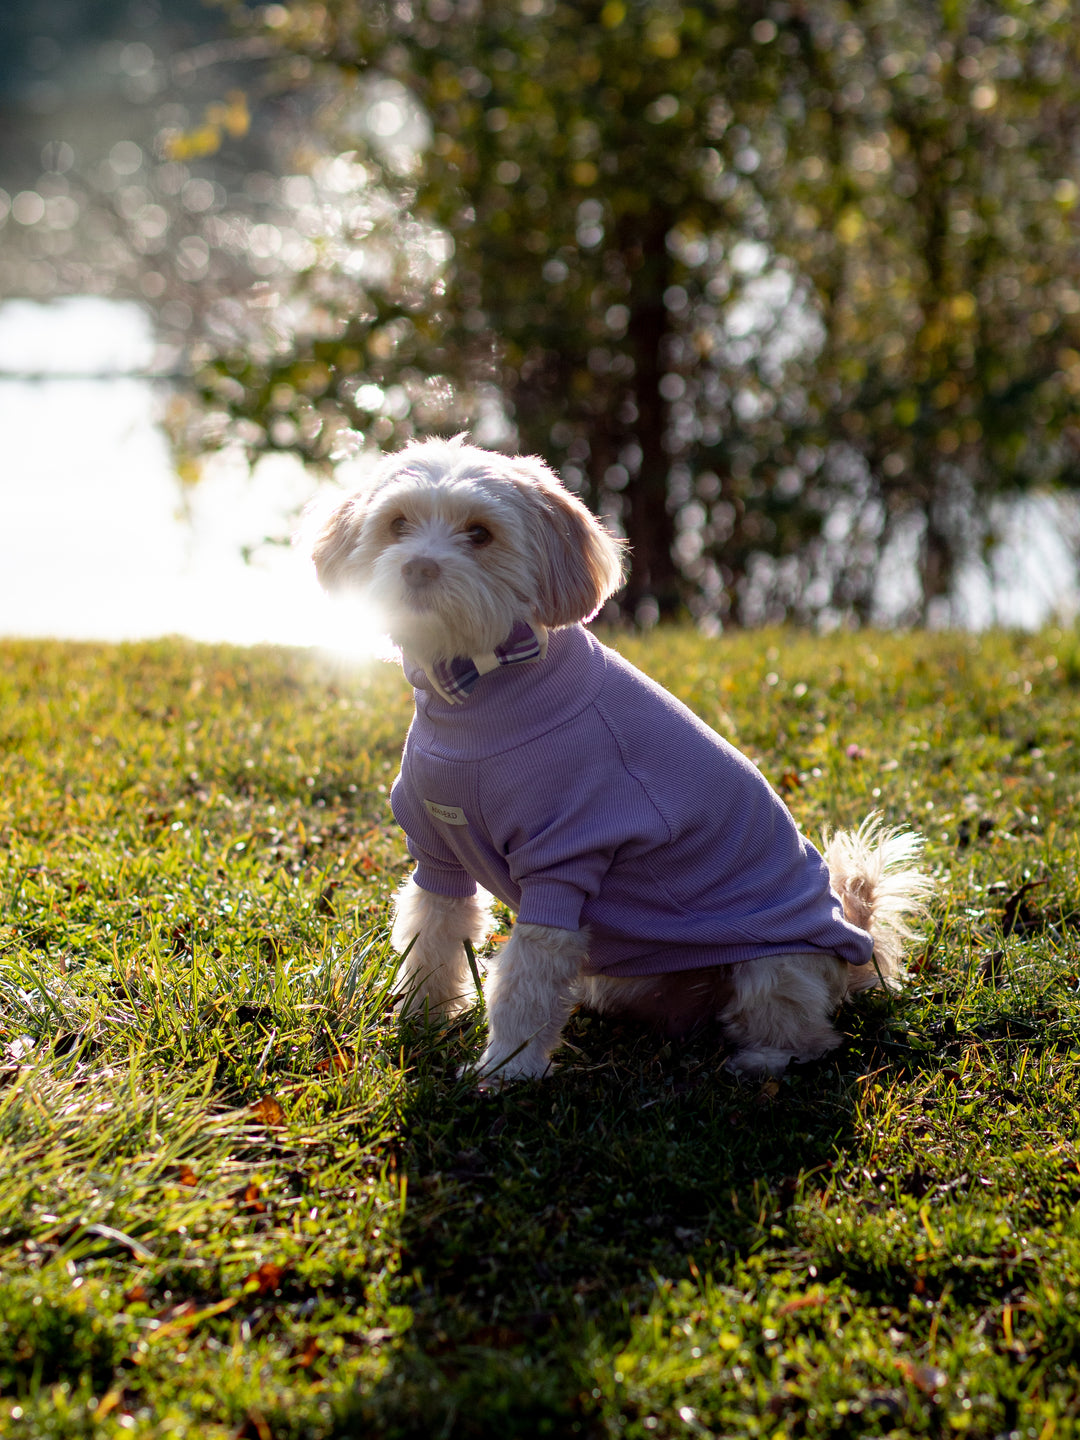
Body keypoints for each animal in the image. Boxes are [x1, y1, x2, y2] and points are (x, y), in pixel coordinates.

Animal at [311, 434, 933, 1082]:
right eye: (397, 524)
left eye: (479, 534)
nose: (418, 567)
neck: (476, 686)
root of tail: (856, 945)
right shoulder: (437, 851)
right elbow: (430, 938)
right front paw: (419, 1026)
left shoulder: (564, 858)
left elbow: (526, 980)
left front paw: (505, 1070)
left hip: (772, 963)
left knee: (805, 1031)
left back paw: (761, 1059)